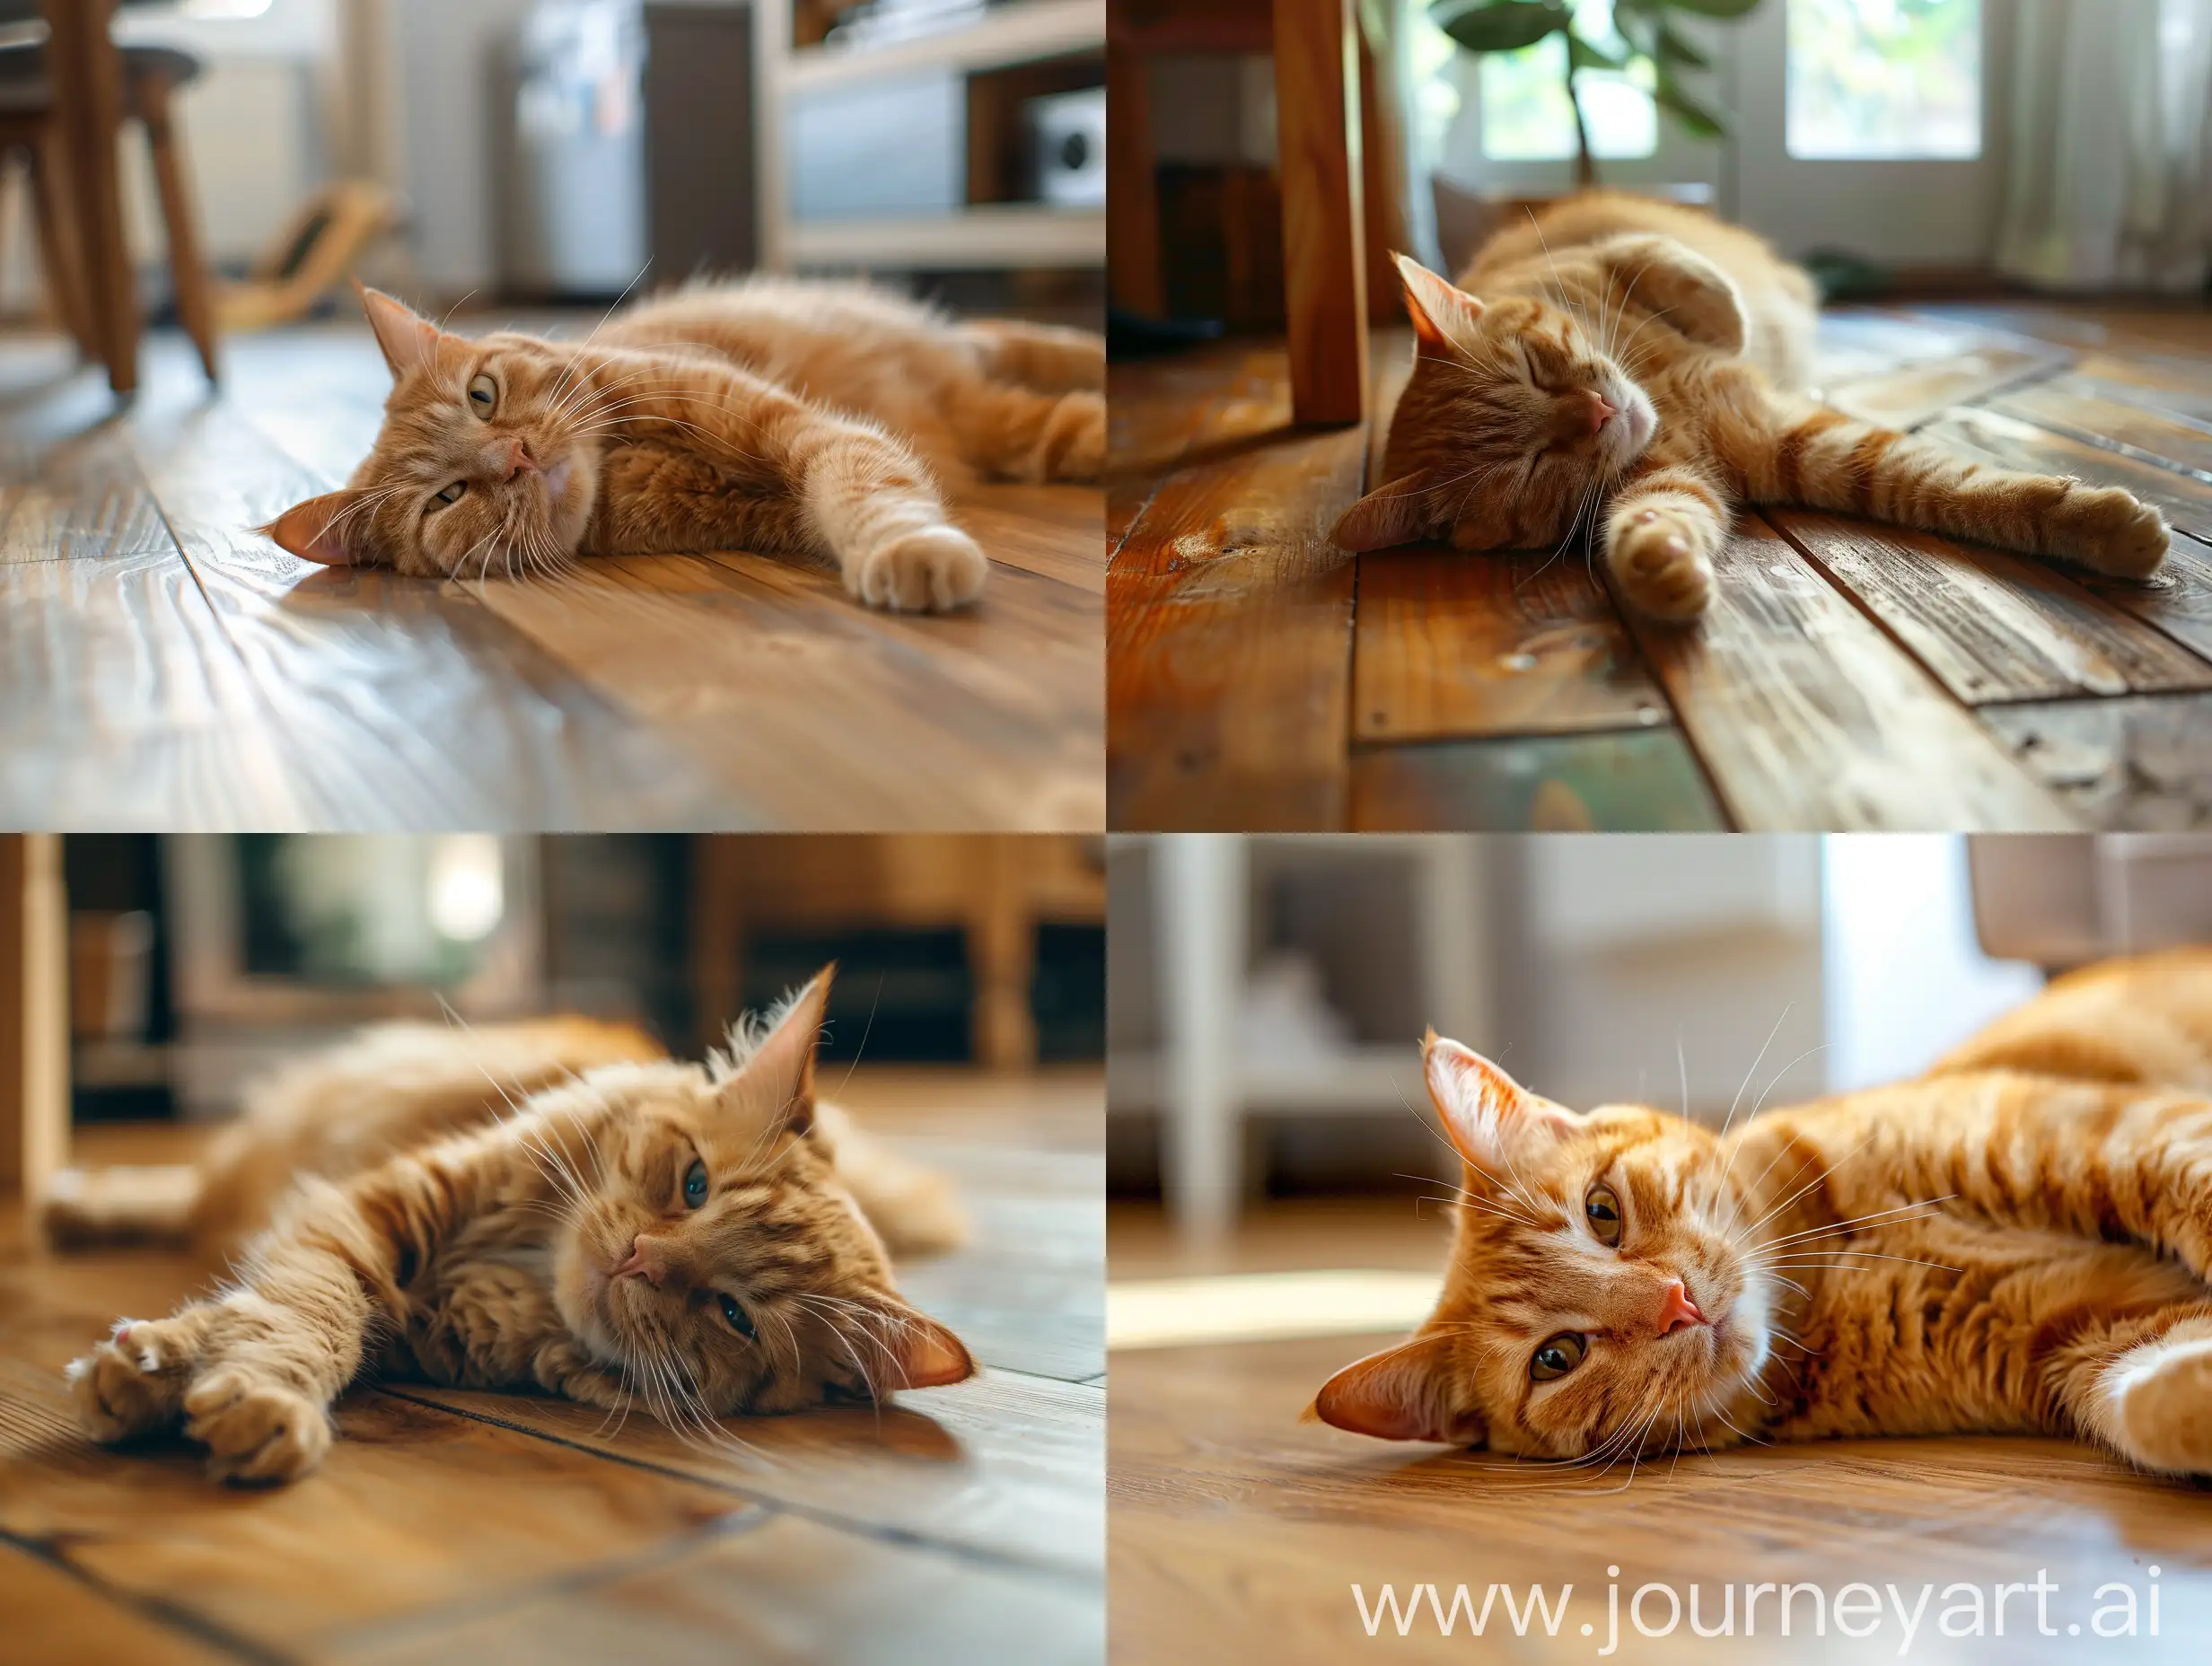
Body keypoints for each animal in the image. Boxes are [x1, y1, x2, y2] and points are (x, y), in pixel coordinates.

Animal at [57, 969, 978, 1486]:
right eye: (694, 1184)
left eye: (734, 1316)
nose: (641, 1259)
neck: (519, 1269)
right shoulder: (365, 1213)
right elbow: (297, 1312)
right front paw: (168, 1371)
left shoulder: (398, 1314)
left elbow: (275, 1319)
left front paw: (208, 1389)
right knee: (190, 1193)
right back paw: (74, 1200)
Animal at [260, 279, 1106, 610]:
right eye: (446, 497)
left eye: (482, 396)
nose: (518, 457)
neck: (624, 461)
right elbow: (856, 491)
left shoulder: (805, 431)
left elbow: (867, 490)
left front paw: (910, 549)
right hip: (1017, 422)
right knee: (1063, 423)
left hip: (995, 359)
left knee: (1055, 359)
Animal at [1309, 955, 2212, 1477]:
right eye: (1556, 1359)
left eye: (1602, 1214)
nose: (1674, 1305)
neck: (1841, 1270)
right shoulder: (2087, 1329)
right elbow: (2151, 1403)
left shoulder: (2088, 1134)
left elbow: (2190, 1184)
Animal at [1336, 188, 2167, 619]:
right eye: (1533, 466)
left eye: (1540, 371)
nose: (1600, 415)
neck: (1665, 402)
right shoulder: (1728, 465)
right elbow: (1938, 484)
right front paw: (1658, 567)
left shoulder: (1604, 259)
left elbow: (1664, 265)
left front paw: (2100, 525)